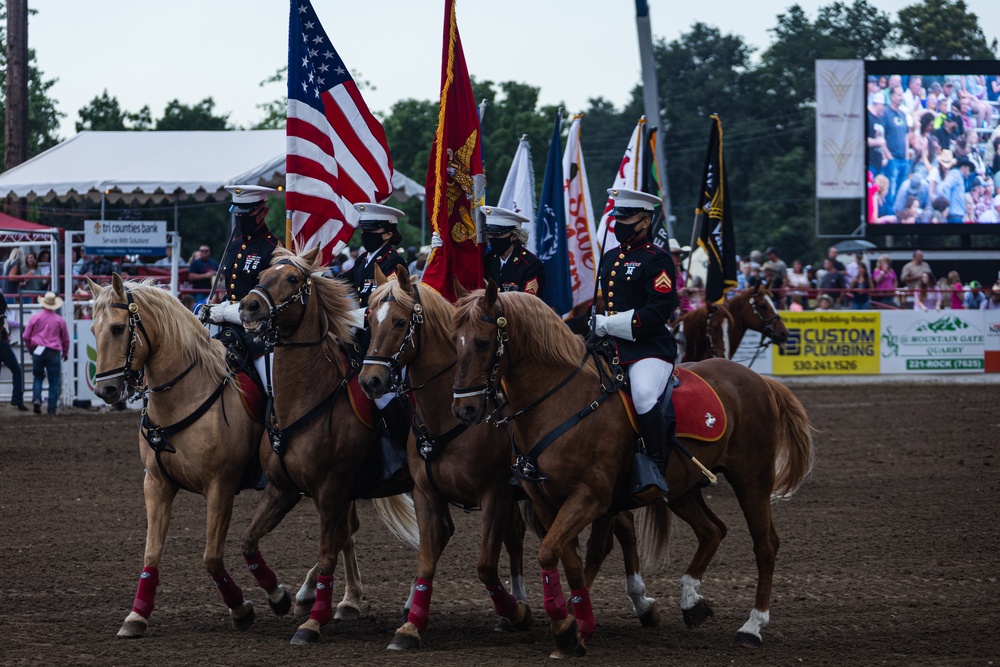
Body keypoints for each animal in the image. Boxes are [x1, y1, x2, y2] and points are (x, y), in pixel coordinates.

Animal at [240, 248, 420, 644]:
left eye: (293, 279)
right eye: (261, 274)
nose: (248, 306)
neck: (307, 398)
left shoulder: (331, 489)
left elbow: (328, 550)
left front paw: (312, 618)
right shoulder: (283, 490)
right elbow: (249, 541)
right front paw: (279, 596)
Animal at [362, 268, 664, 652]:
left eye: (400, 322)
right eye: (370, 319)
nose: (370, 381)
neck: (444, 420)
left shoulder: (496, 494)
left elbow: (486, 564)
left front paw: (519, 612)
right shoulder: (427, 494)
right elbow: (427, 560)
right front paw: (410, 626)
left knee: (615, 534)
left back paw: (635, 604)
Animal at [452, 284, 812, 656]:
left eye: (482, 342)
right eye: (454, 342)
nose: (465, 409)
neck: (561, 402)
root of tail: (760, 380)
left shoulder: (590, 498)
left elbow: (557, 552)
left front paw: (568, 627)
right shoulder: (546, 503)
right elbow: (567, 560)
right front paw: (576, 625)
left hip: (751, 478)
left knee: (765, 545)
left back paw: (752, 626)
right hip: (682, 490)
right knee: (713, 530)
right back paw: (692, 602)